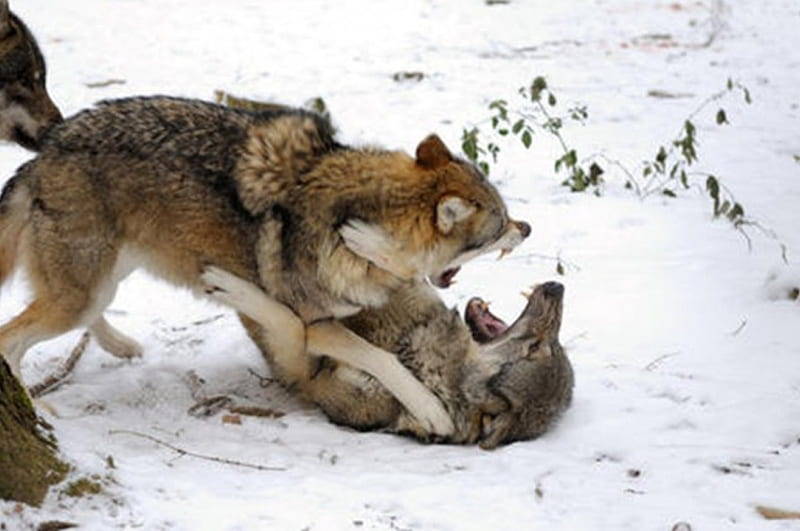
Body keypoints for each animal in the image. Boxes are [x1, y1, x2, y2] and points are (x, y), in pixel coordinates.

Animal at [0, 95, 528, 436]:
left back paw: (121, 346)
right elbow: (384, 360)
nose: (527, 228)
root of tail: (41, 155)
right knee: (11, 340)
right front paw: (433, 412)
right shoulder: (318, 328)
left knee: (78, 314)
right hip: (80, 293)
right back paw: (35, 412)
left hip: (106, 278)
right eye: (501, 224)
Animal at [203, 266, 572, 448]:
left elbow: (289, 322)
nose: (558, 287)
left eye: (537, 347)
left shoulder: (306, 372)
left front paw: (228, 286)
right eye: (554, 346)